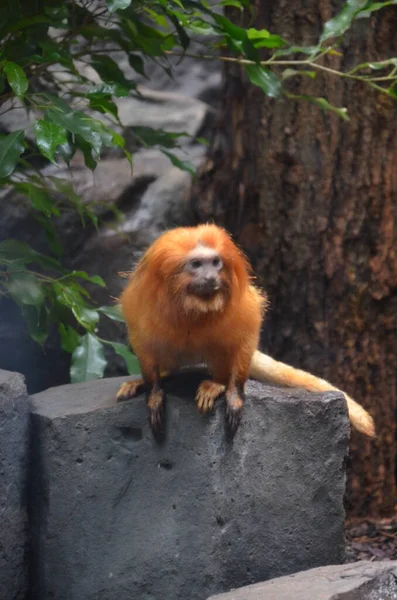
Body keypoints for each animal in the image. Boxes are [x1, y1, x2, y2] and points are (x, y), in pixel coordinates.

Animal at [117, 224, 374, 440]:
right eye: (197, 264)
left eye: (215, 262)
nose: (211, 277)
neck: (193, 305)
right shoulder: (143, 304)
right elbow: (144, 347)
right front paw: (153, 394)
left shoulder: (241, 307)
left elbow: (245, 340)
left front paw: (233, 394)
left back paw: (216, 383)